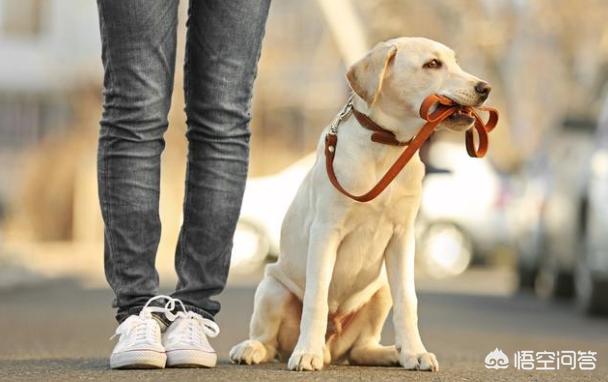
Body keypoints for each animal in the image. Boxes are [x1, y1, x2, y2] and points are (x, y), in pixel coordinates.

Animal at [230, 35, 492, 370]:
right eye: (432, 64)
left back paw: (391, 353)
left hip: (379, 291)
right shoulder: (326, 231)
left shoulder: (403, 236)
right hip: (272, 288)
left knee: (360, 349)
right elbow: (316, 297)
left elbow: (408, 299)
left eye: (455, 62)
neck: (386, 146)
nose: (485, 88)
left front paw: (415, 352)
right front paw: (307, 353)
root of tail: (332, 348)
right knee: (269, 341)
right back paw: (255, 349)